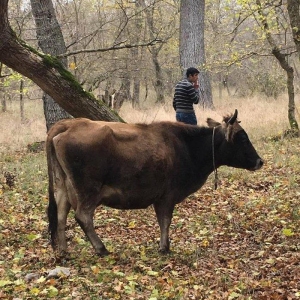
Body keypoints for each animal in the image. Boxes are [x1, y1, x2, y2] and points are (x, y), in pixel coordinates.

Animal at [46, 109, 262, 256]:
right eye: (243, 138)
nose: (260, 161)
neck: (187, 146)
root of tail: (68, 124)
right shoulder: (167, 196)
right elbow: (165, 221)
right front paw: (164, 247)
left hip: (63, 186)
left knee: (61, 214)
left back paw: (64, 251)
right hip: (88, 191)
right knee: (83, 216)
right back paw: (101, 248)